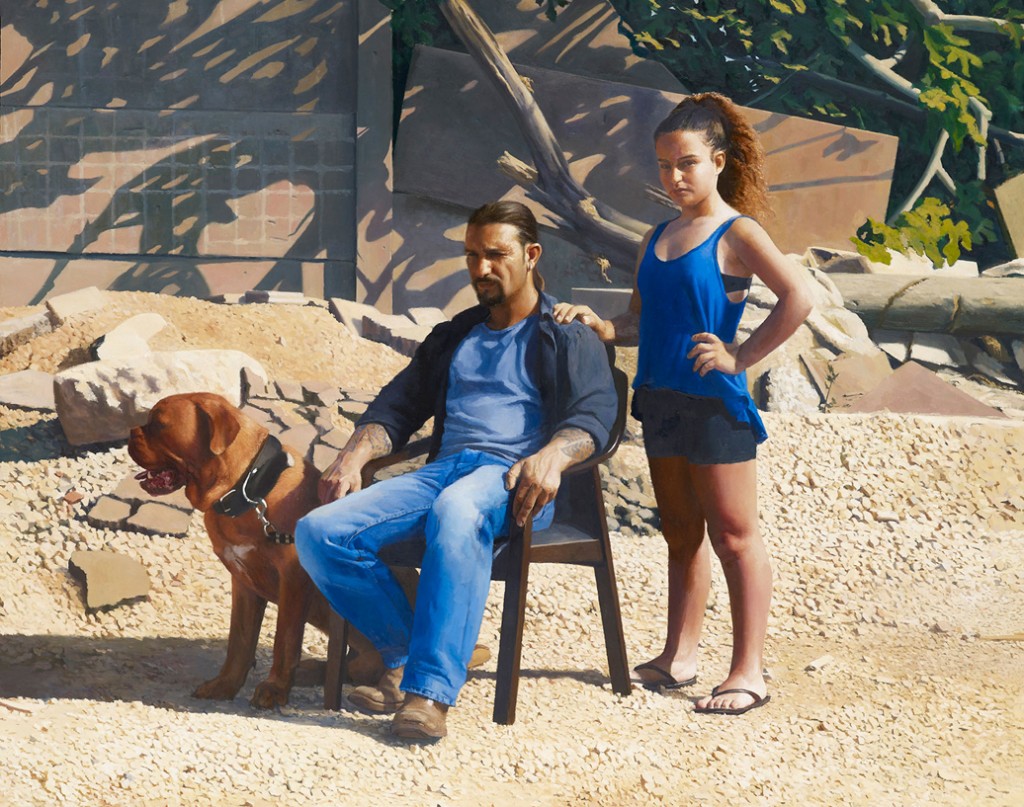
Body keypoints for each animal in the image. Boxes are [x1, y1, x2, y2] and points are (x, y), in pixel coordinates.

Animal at [127, 391, 418, 709]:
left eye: (159, 424)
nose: (130, 432)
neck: (248, 488)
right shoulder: (243, 583)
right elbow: (240, 642)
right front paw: (225, 684)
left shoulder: (292, 582)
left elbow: (285, 640)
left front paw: (275, 688)